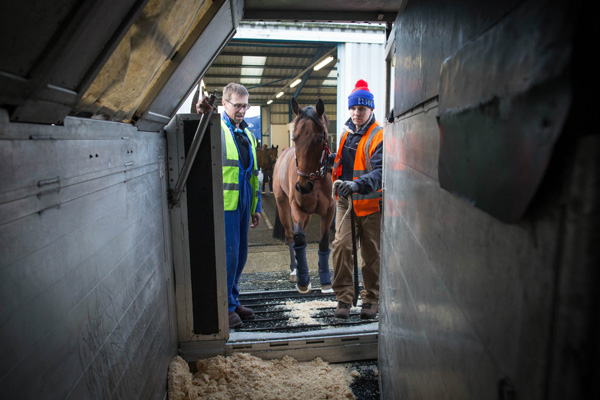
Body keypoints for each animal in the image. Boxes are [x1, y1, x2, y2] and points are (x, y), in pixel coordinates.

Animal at [274, 97, 336, 294]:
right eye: (295, 137)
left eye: (321, 138)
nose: (303, 187)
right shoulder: (297, 207)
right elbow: (299, 237)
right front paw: (303, 281)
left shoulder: (329, 211)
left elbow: (324, 242)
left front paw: (325, 280)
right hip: (283, 205)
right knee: (290, 235)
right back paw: (295, 270)